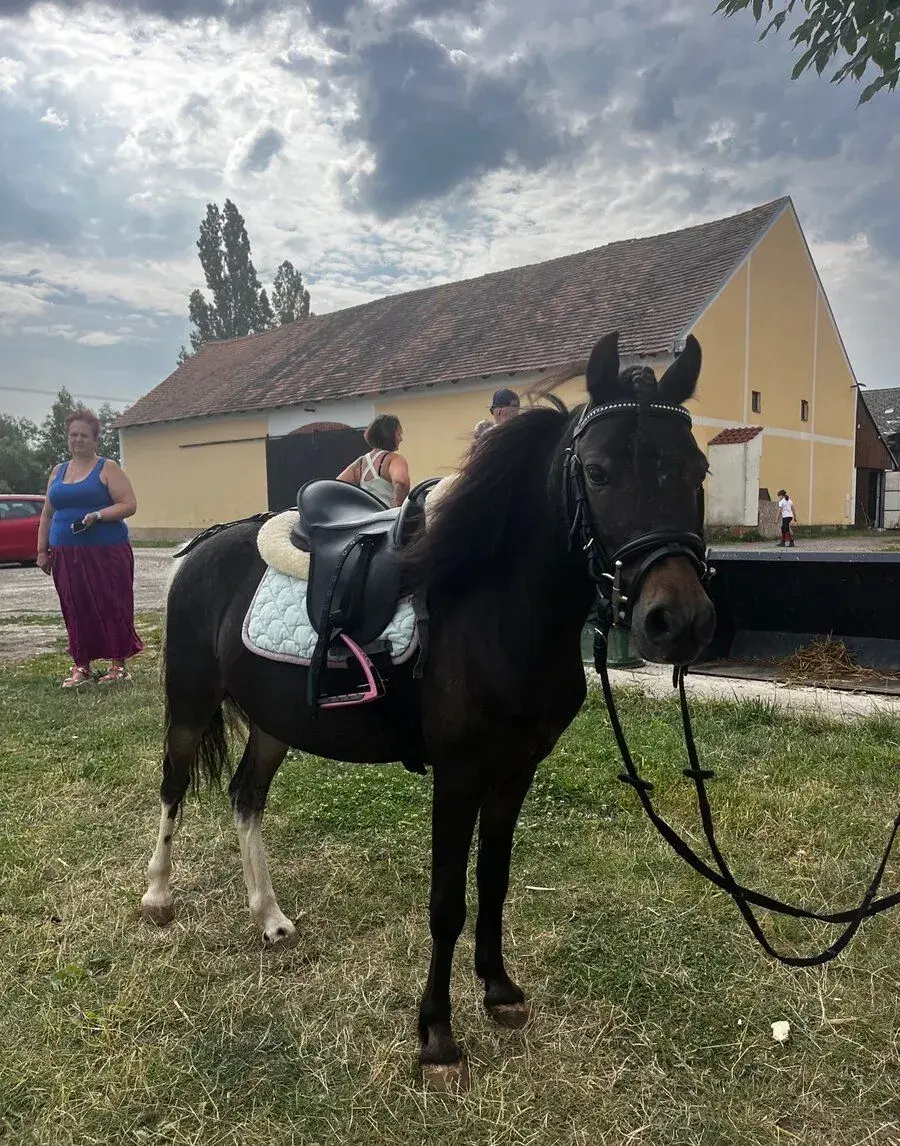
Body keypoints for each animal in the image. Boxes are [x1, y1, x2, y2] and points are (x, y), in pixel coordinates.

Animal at [141, 329, 716, 1087]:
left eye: (697, 468)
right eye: (597, 471)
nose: (677, 621)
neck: (494, 608)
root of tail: (204, 544)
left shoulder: (516, 771)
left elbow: (494, 882)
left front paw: (499, 990)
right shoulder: (458, 775)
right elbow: (447, 902)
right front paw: (437, 1036)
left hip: (274, 722)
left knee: (245, 797)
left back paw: (269, 917)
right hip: (190, 702)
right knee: (174, 786)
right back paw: (157, 897)